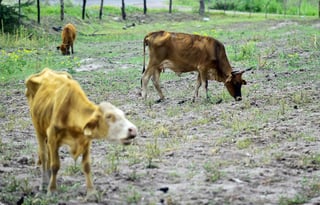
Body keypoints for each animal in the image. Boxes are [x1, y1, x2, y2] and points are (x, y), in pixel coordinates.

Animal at [25, 68, 138, 198]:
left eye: (123, 114)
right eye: (109, 116)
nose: (133, 129)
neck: (70, 111)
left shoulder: (85, 140)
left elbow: (86, 166)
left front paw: (91, 192)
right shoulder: (53, 136)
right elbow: (55, 165)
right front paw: (52, 190)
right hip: (38, 128)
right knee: (44, 155)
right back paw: (44, 183)